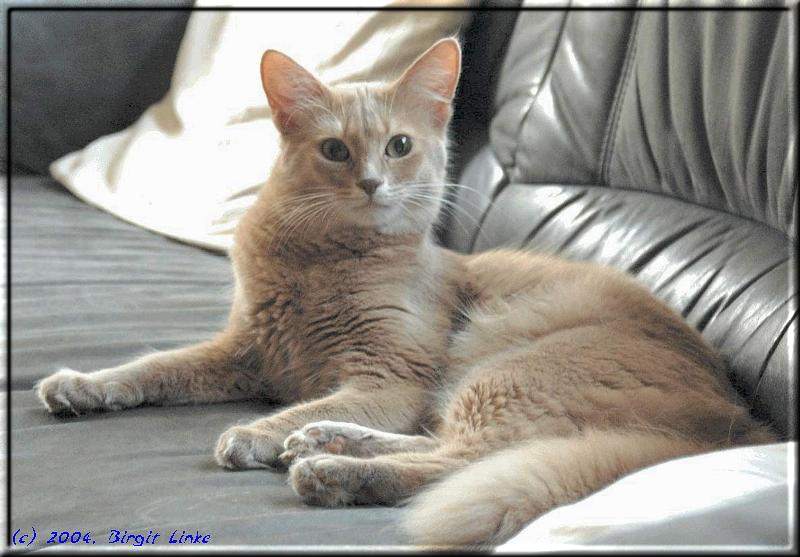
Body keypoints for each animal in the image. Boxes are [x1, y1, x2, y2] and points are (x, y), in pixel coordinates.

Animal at [32, 40, 776, 548]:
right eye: (335, 150)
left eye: (398, 146)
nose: (370, 183)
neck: (323, 262)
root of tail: (741, 423)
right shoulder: (243, 351)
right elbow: (153, 366)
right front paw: (84, 385)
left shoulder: (390, 375)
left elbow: (304, 403)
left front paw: (253, 433)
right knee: (436, 444)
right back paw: (322, 443)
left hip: (504, 371)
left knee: (457, 459)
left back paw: (326, 467)